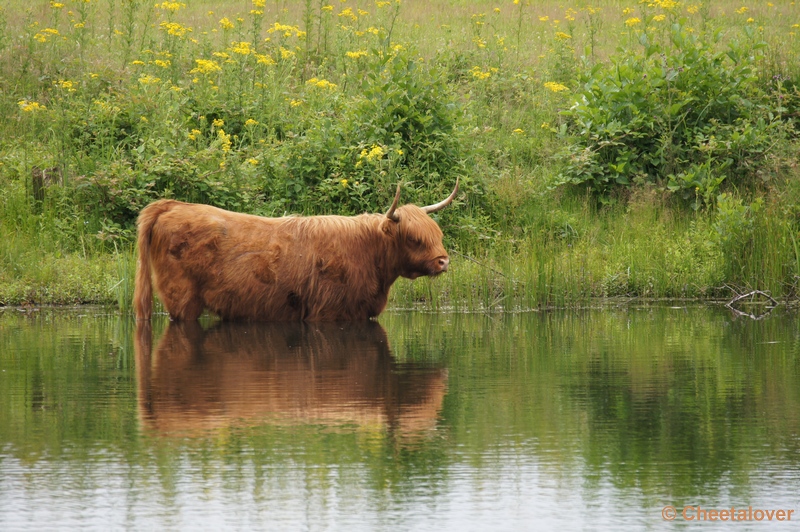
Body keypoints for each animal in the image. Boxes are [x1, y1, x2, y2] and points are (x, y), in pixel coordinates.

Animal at [135, 181, 460, 320]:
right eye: (414, 239)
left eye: (438, 234)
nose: (443, 262)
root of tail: (171, 205)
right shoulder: (328, 311)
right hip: (182, 297)